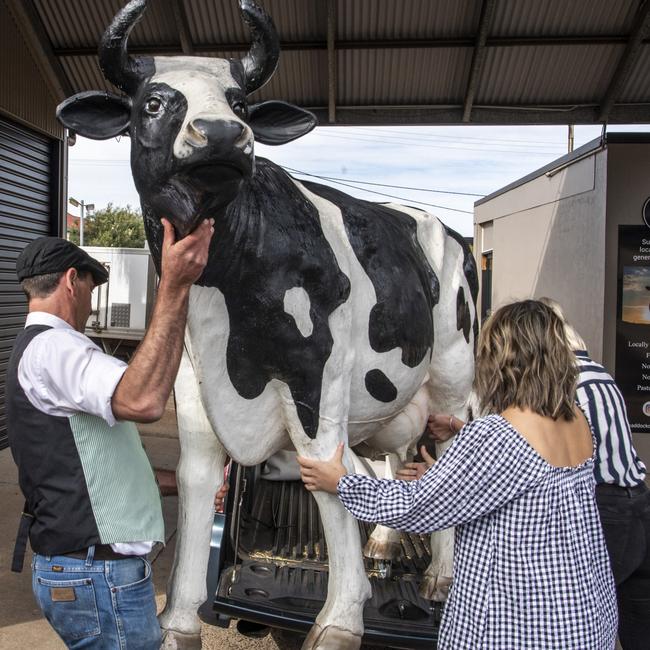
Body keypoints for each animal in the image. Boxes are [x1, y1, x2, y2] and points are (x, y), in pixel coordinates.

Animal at [57, 2, 476, 644]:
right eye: (152, 102)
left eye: (240, 102)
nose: (224, 134)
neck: (229, 275)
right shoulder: (192, 379)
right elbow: (198, 477)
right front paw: (179, 618)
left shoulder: (314, 377)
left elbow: (324, 471)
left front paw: (342, 618)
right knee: (393, 455)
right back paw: (384, 542)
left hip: (455, 371)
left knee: (451, 444)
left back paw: (440, 579)